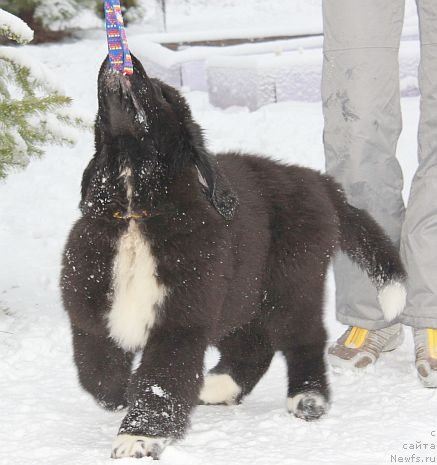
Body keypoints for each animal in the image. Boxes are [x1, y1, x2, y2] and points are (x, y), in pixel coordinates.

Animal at [60, 53, 406, 456]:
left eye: (161, 92)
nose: (126, 58)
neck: (135, 213)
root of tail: (319, 181)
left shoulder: (181, 320)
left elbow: (158, 380)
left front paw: (139, 435)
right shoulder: (91, 313)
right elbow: (97, 375)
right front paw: (121, 396)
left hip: (291, 281)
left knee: (304, 336)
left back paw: (308, 398)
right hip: (242, 292)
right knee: (253, 344)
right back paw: (218, 386)